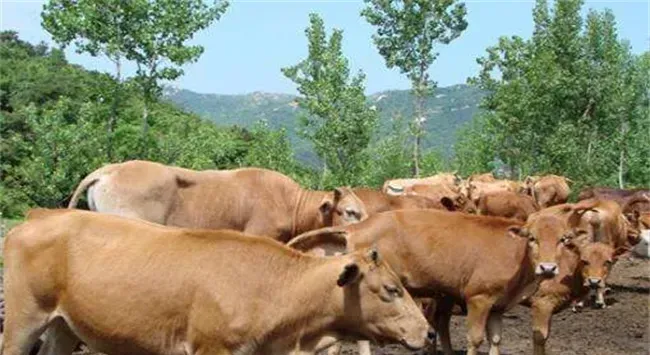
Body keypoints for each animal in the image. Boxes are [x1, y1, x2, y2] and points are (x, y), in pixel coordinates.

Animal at [5, 209, 430, 355]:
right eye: (391, 290)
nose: (427, 332)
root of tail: (36, 218)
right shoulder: (212, 348)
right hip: (23, 321)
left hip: (63, 327)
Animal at [288, 209, 588, 355]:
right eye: (532, 238)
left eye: (564, 239)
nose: (548, 268)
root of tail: (359, 226)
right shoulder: (478, 299)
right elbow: (475, 338)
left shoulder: (499, 306)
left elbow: (495, 340)